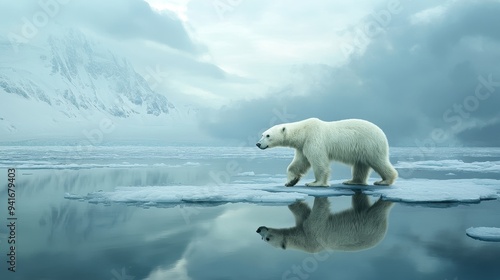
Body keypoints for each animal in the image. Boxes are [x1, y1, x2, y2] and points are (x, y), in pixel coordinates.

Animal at [256, 117, 396, 186]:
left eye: (268, 135)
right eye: (262, 134)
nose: (258, 144)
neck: (303, 132)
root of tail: (382, 133)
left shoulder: (314, 140)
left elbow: (319, 162)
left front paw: (315, 183)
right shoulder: (303, 146)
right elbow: (298, 163)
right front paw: (291, 181)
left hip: (370, 145)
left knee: (378, 162)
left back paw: (384, 181)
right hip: (361, 149)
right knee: (360, 165)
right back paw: (352, 181)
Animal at [258, 194, 394, 253]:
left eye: (268, 238)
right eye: (262, 239)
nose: (258, 229)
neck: (302, 240)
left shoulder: (313, 233)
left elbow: (319, 211)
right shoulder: (305, 227)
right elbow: (303, 211)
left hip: (371, 223)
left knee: (379, 208)